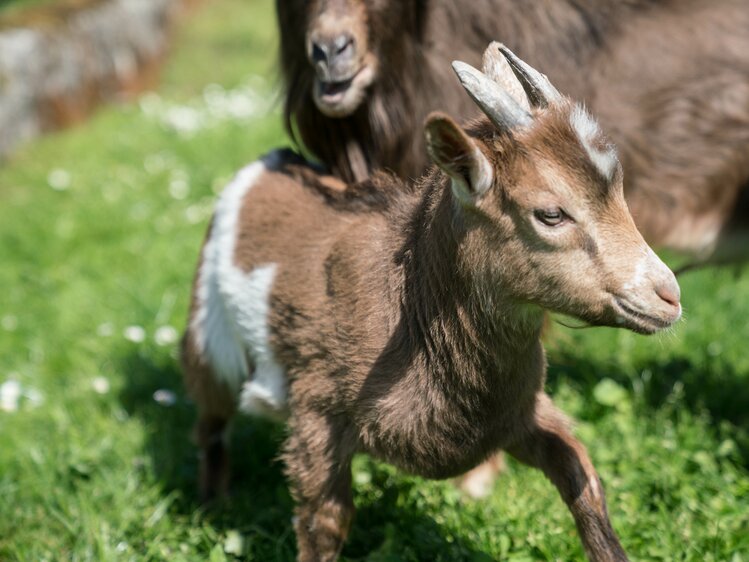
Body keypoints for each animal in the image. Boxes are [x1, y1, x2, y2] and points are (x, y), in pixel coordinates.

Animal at [180, 46, 676, 560]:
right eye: (551, 214)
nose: (669, 296)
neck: (408, 309)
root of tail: (267, 162)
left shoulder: (518, 414)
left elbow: (582, 478)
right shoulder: (317, 415)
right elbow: (325, 523)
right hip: (208, 339)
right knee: (211, 422)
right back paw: (214, 506)